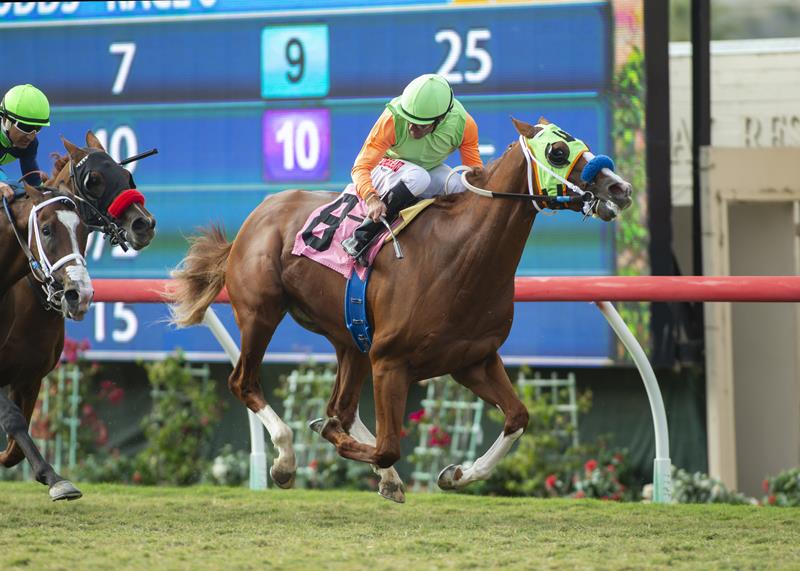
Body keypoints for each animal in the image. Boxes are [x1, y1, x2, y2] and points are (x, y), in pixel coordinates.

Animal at [0, 133, 155, 500]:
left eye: (126, 175)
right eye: (93, 180)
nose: (144, 224)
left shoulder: (30, 376)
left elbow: (13, 447)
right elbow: (12, 422)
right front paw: (56, 478)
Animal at [167, 118, 632, 502]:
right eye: (558, 152)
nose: (620, 188)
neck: (462, 255)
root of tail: (256, 216)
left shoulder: (473, 360)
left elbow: (518, 416)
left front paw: (455, 474)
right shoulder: (391, 361)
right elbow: (387, 444)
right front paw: (336, 440)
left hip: (350, 339)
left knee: (342, 405)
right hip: (261, 312)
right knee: (243, 382)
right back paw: (286, 461)